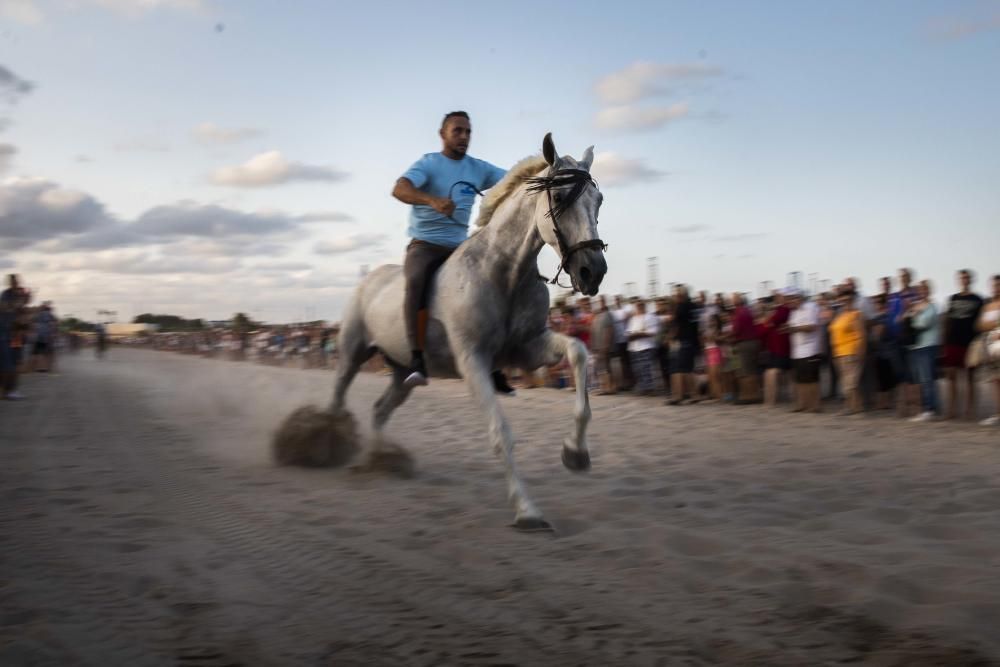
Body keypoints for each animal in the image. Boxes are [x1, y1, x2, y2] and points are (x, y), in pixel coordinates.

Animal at [332, 134, 604, 532]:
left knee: (380, 410)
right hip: (352, 354)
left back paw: (379, 460)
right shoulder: (472, 360)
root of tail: (369, 279)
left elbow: (579, 355)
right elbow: (501, 433)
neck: (502, 273)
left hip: (402, 374)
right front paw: (527, 510)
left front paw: (576, 453)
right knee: (338, 399)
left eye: (598, 201)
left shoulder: (526, 348)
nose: (593, 271)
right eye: (558, 197)